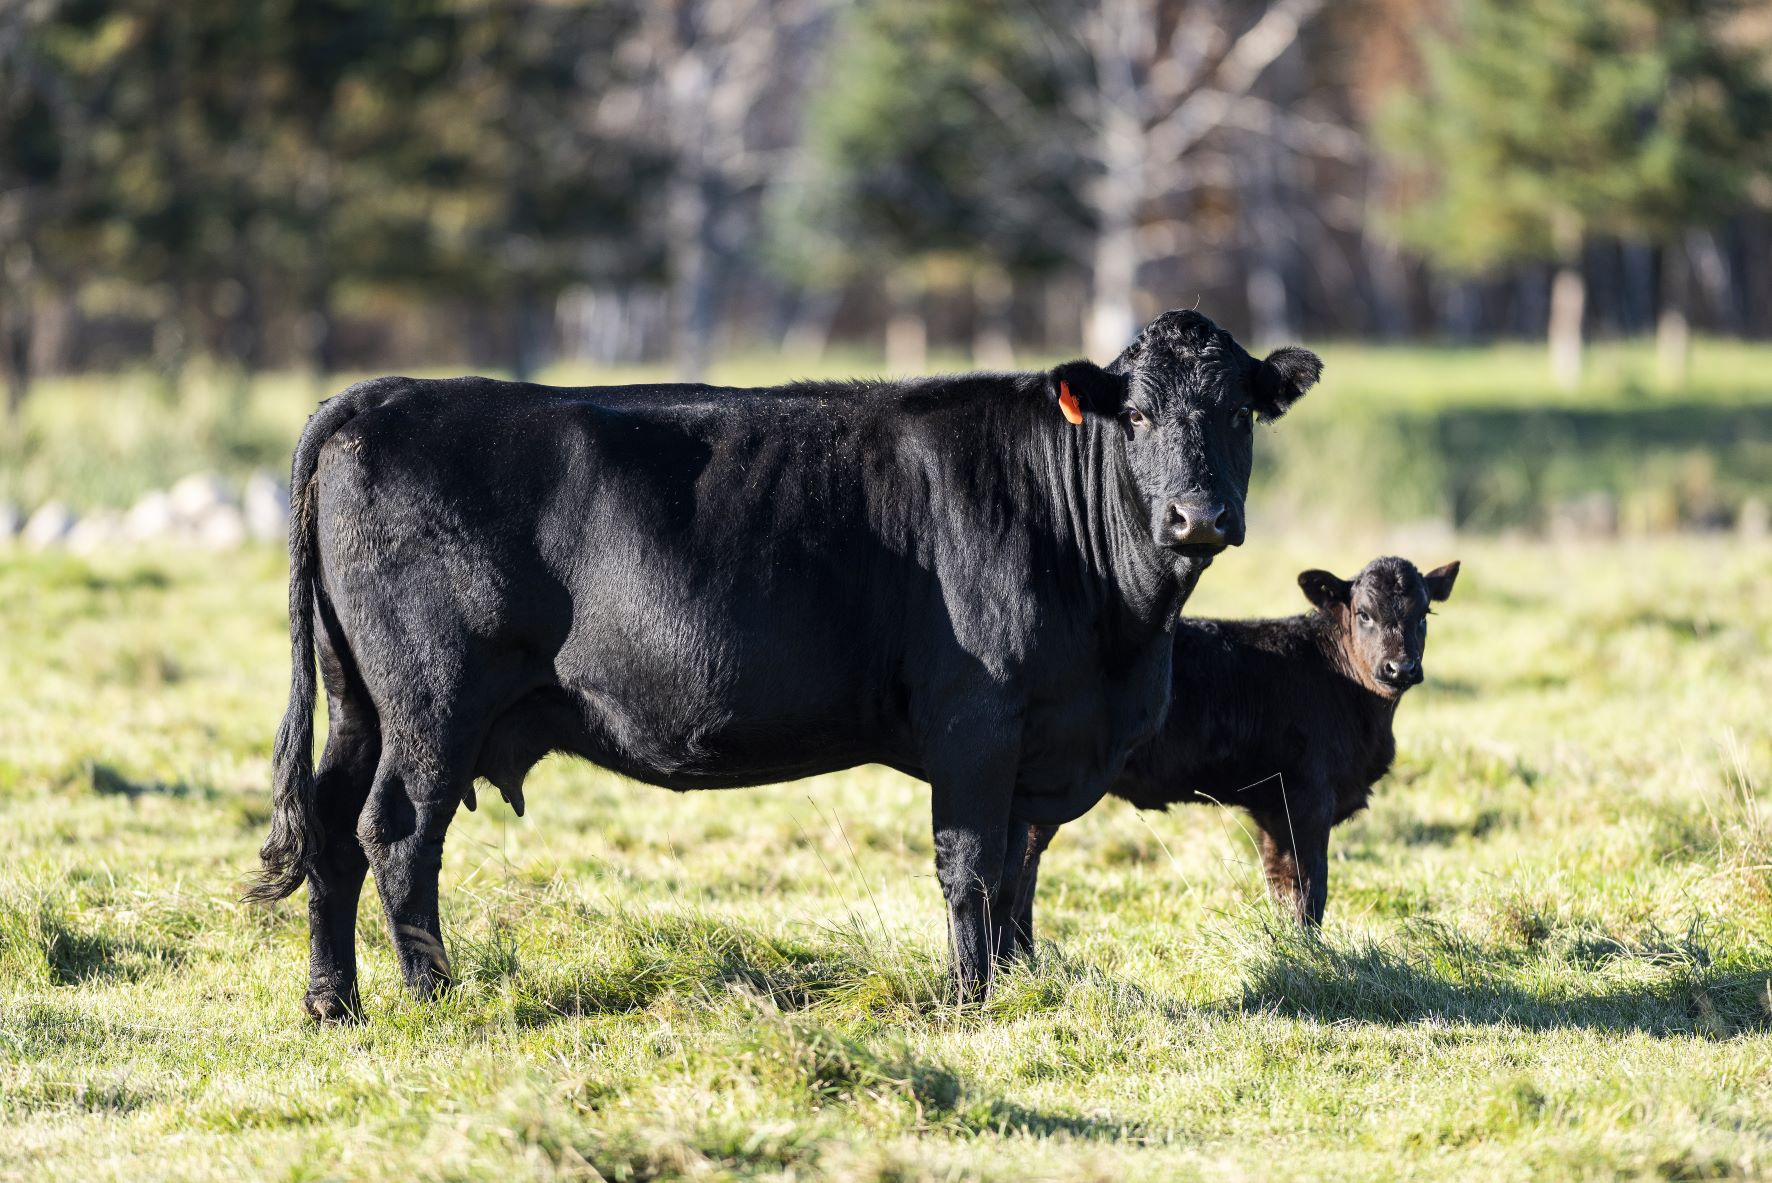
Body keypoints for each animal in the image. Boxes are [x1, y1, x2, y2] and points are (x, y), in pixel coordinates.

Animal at [249, 309, 1325, 1020]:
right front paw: (971, 999)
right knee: (396, 832)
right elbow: (973, 866)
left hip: (360, 703)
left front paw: (1022, 983)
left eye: (1238, 414)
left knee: (334, 830)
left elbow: (1022, 869)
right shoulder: (976, 724)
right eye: (1134, 416)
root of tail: (385, 393)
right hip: (433, 701)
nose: (1197, 515)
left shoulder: (1045, 747)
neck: (1121, 641)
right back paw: (435, 995)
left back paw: (332, 1002)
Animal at [1006, 556, 1460, 942]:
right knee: (1021, 867)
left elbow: (1281, 884)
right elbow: (1309, 887)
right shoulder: (1307, 798)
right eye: (1364, 613)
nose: (1400, 668)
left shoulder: (1273, 808)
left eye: (1423, 615)